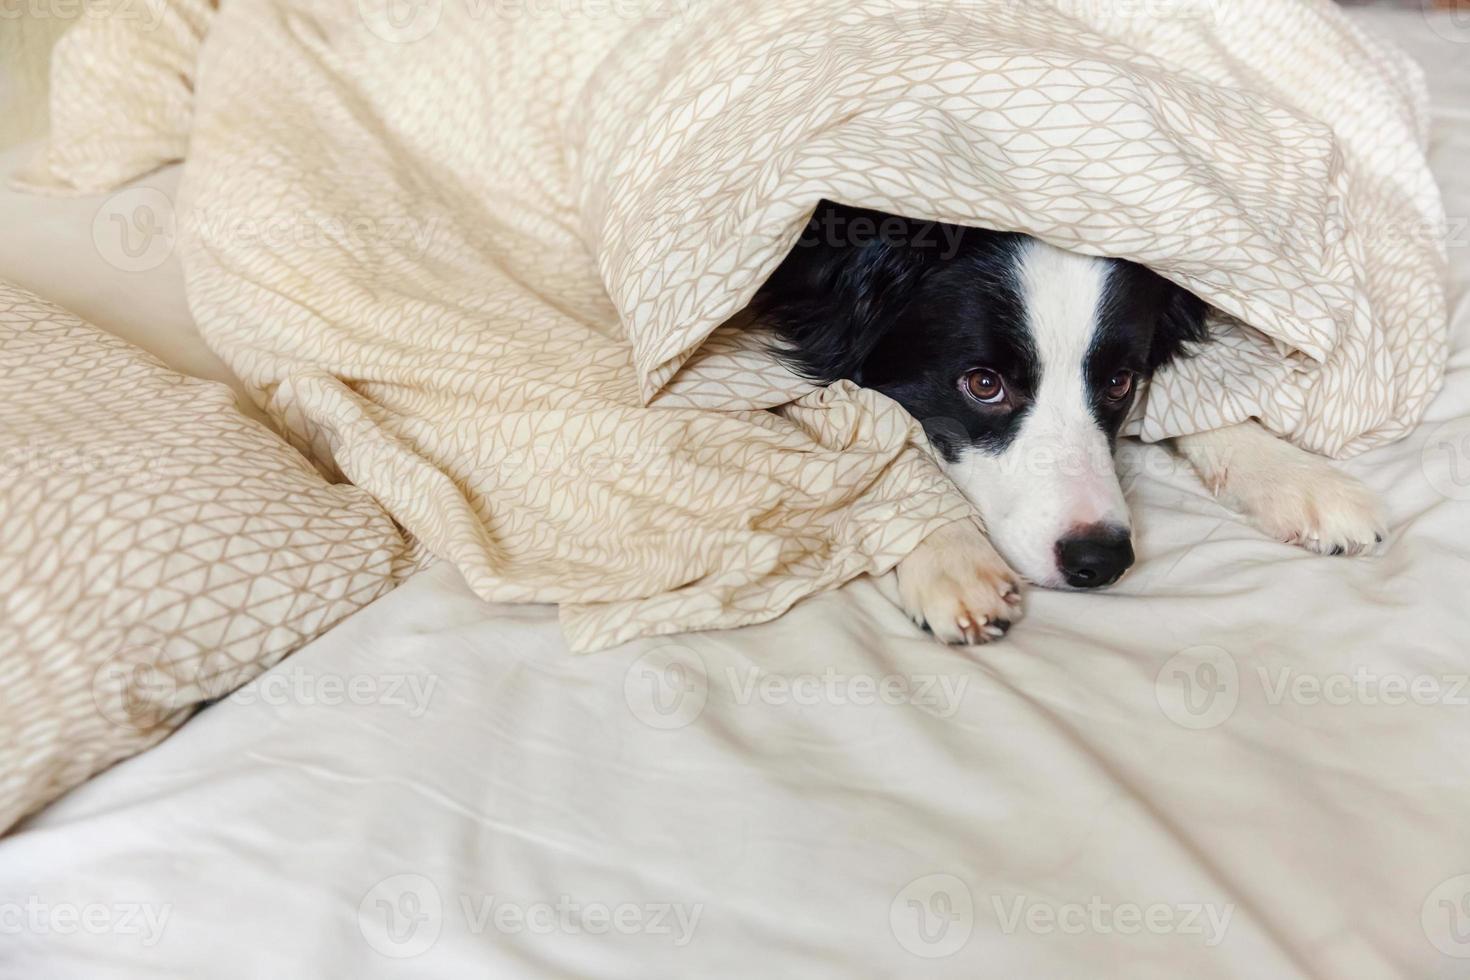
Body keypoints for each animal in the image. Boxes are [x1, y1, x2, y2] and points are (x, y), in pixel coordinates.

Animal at [752, 202, 1381, 646]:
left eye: (1120, 382)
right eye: (984, 384)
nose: (1099, 560)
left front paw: (1295, 477)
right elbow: (876, 429)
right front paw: (951, 554)